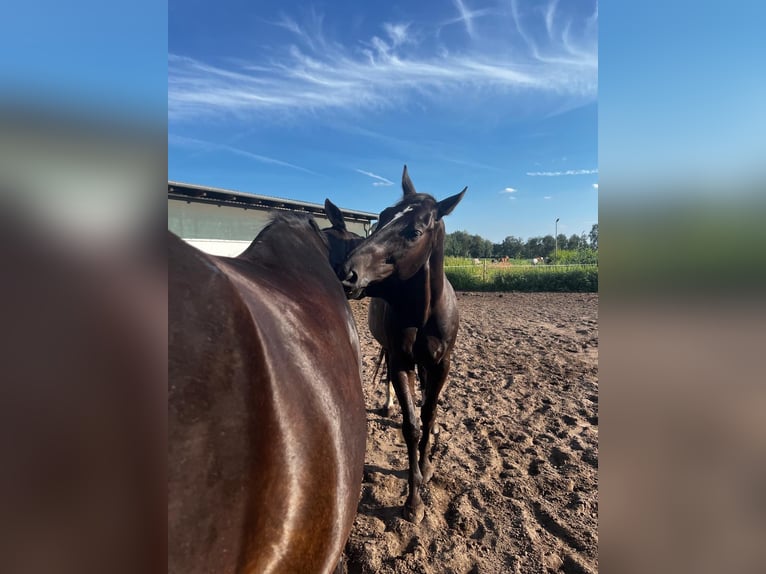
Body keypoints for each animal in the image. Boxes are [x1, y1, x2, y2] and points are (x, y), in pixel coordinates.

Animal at [342, 166, 468, 528]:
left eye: (415, 232)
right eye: (382, 217)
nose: (347, 272)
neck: (423, 312)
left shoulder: (441, 364)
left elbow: (428, 413)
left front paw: (426, 465)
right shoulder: (401, 362)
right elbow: (411, 426)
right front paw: (414, 502)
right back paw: (386, 405)